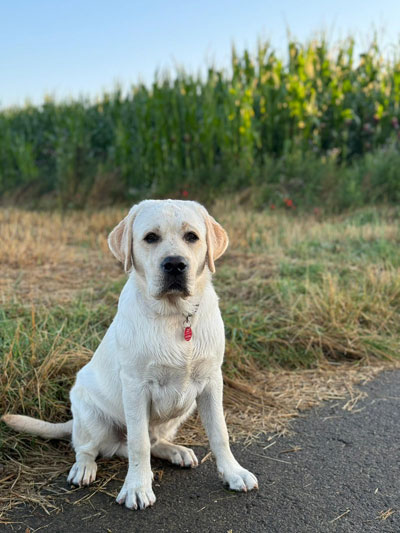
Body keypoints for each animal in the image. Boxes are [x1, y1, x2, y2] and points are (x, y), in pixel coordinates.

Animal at [2, 199, 258, 510]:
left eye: (192, 237)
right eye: (150, 237)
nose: (175, 264)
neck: (175, 315)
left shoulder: (211, 382)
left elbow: (220, 432)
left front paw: (233, 473)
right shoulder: (136, 387)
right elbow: (139, 444)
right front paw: (137, 486)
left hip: (182, 410)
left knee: (152, 441)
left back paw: (175, 451)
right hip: (90, 414)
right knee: (88, 447)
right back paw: (84, 468)